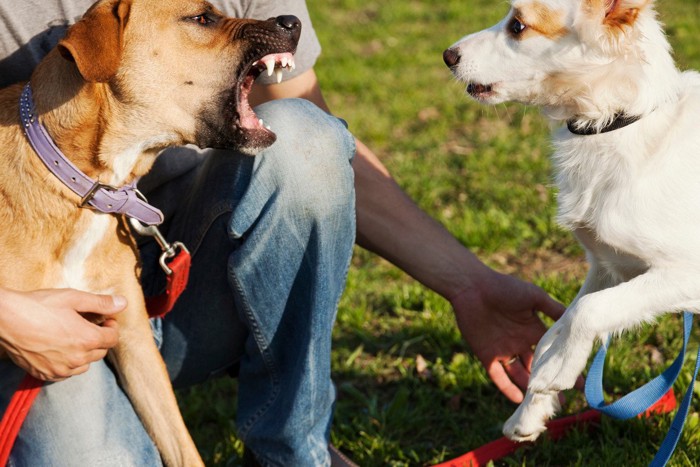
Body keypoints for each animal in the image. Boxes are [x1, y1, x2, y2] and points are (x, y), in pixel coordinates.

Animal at [442, 0, 700, 442]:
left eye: (518, 26)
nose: (447, 56)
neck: (615, 123)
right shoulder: (609, 266)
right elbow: (560, 323)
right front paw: (532, 405)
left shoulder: (685, 272)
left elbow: (589, 311)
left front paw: (556, 371)